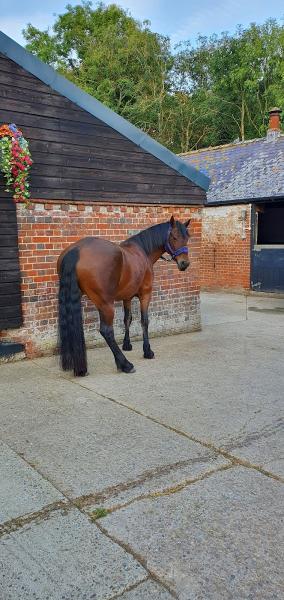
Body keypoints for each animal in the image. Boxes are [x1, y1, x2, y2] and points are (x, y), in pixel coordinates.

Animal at [57, 214, 191, 376]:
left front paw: (127, 344)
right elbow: (144, 321)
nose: (184, 263)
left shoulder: (127, 297)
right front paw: (147, 351)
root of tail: (77, 250)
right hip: (105, 303)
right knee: (107, 331)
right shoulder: (145, 294)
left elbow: (127, 319)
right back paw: (125, 364)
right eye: (174, 237)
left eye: (187, 237)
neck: (143, 251)